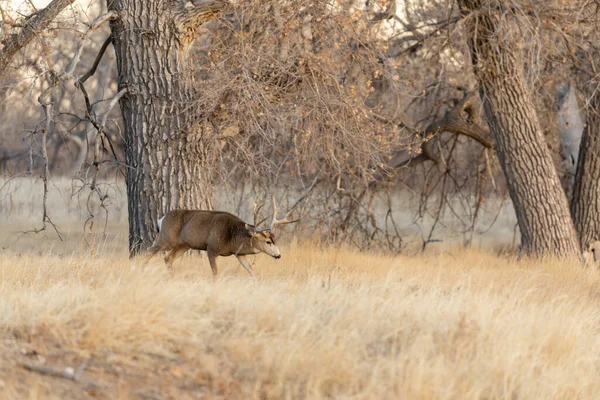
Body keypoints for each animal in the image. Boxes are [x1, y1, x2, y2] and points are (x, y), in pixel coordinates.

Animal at [143, 194, 298, 278]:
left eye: (275, 240)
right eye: (267, 242)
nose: (278, 255)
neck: (231, 237)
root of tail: (161, 219)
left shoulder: (239, 254)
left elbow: (252, 272)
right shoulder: (211, 248)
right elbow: (215, 273)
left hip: (183, 245)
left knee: (167, 258)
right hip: (166, 239)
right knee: (148, 252)